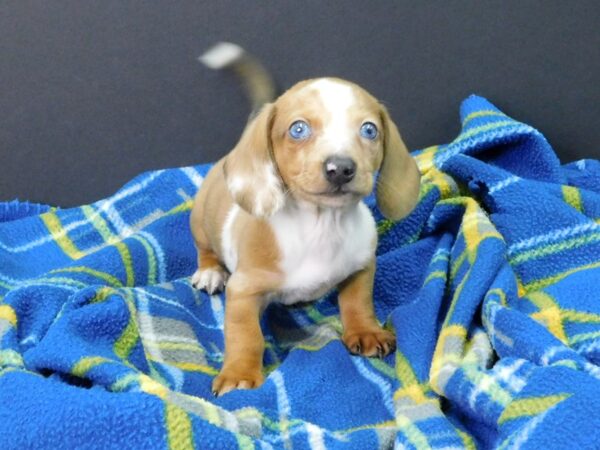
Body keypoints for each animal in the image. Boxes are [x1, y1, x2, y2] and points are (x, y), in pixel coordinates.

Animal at [190, 78, 420, 398]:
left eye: (369, 130)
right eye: (298, 129)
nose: (340, 169)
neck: (321, 227)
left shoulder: (362, 266)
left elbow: (358, 302)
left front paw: (365, 331)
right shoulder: (243, 291)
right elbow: (246, 336)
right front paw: (239, 374)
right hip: (200, 221)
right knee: (205, 250)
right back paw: (210, 272)